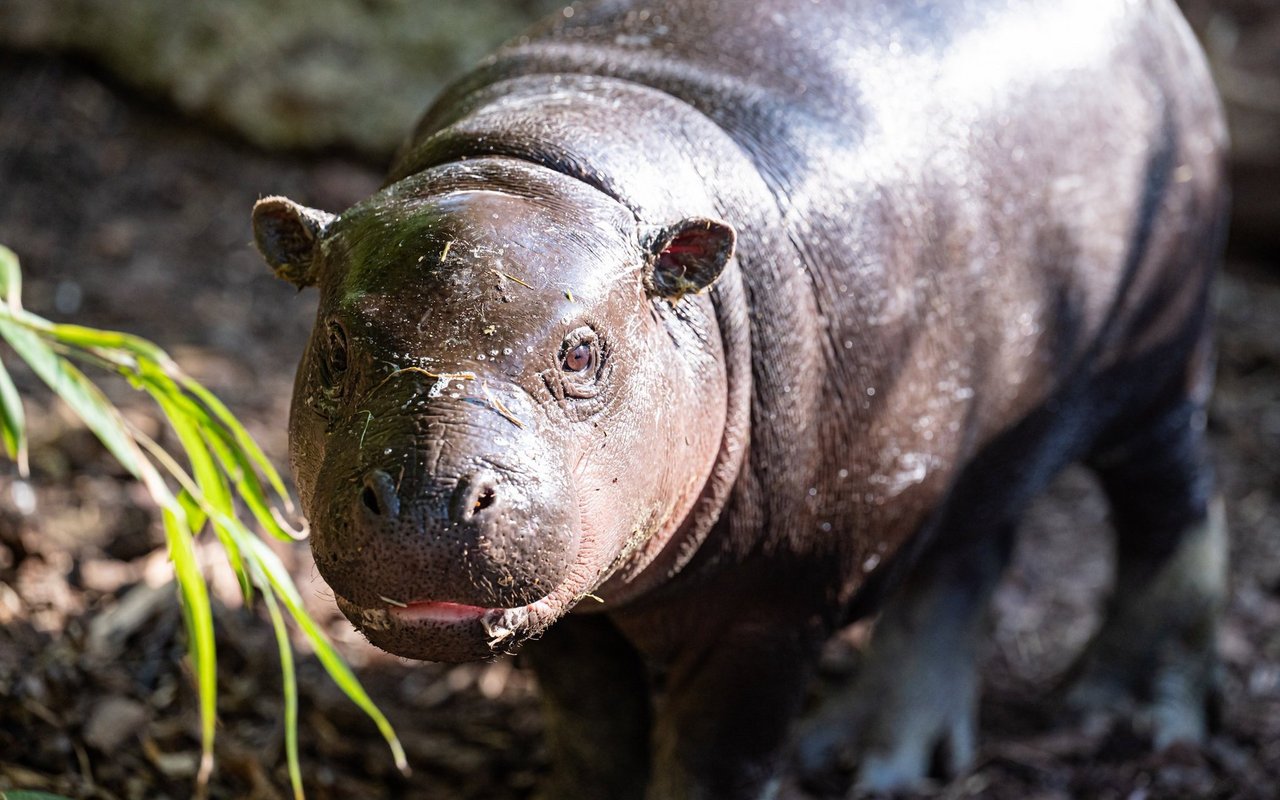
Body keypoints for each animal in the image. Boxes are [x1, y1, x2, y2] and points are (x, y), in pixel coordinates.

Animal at [247, 3, 1228, 793]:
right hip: (978, 433)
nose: (424, 498)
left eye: (582, 351)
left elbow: (714, 761)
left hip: (1158, 358)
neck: (539, 166)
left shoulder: (773, 612)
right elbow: (592, 731)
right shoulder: (570, 604)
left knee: (1173, 510)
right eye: (334, 346)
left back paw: (1126, 714)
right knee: (967, 555)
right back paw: (876, 764)